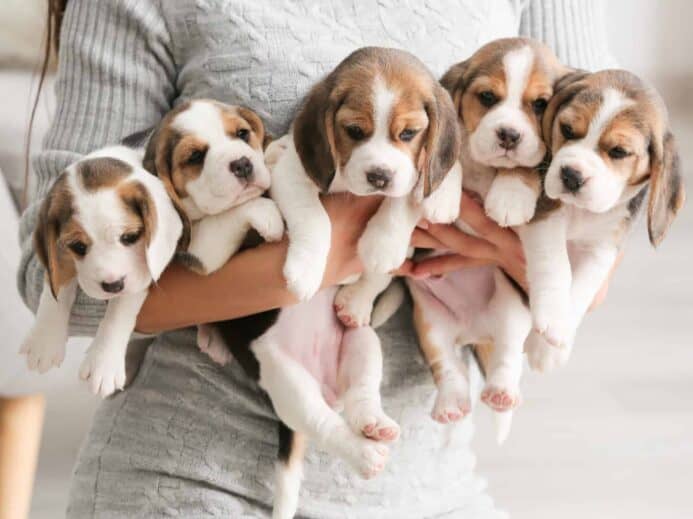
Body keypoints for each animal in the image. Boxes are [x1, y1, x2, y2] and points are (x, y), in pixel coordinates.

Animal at [21, 145, 182, 398]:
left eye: (130, 237)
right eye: (78, 246)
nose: (112, 286)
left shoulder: (139, 276)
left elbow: (118, 312)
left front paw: (103, 363)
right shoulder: (60, 254)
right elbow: (56, 284)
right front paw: (44, 340)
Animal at [406, 37, 568, 442]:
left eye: (540, 104)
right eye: (487, 97)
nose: (509, 135)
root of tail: (473, 329)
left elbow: (525, 167)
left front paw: (510, 196)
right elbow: (449, 156)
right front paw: (442, 195)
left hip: (510, 311)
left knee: (506, 358)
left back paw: (501, 393)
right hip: (429, 322)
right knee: (449, 368)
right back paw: (450, 404)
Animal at [520, 69, 684, 372]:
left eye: (619, 152)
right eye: (567, 130)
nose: (571, 175)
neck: (581, 212)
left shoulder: (603, 247)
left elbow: (583, 285)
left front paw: (548, 346)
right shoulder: (545, 213)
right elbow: (556, 264)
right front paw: (553, 314)